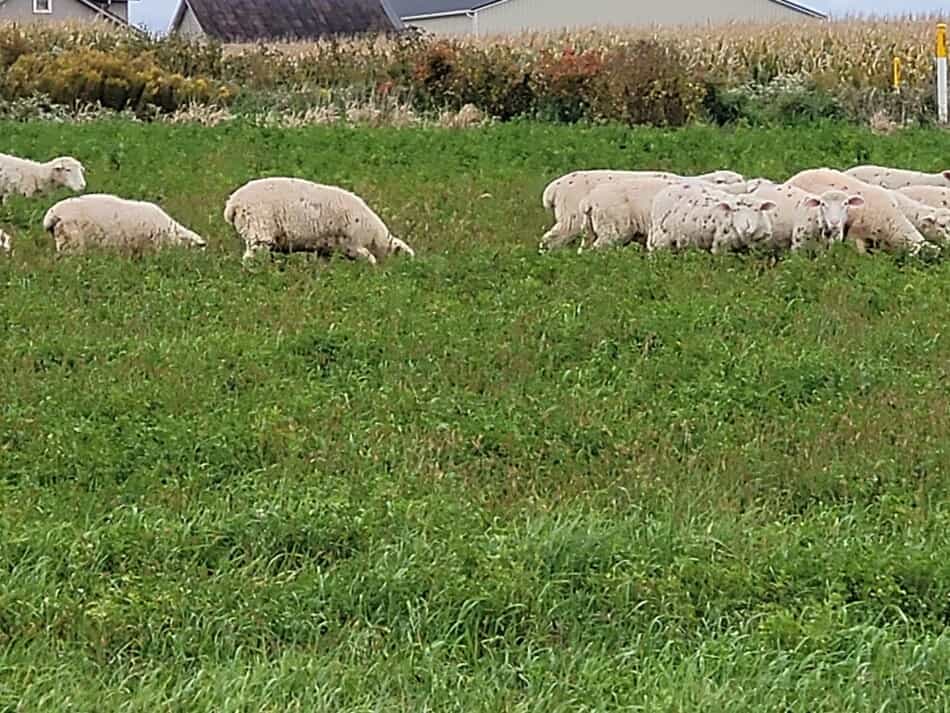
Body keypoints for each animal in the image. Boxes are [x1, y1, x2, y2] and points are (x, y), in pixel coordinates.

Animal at [227, 177, 416, 266]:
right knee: (251, 257)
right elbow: (370, 259)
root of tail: (233, 203)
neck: (376, 238)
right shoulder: (352, 244)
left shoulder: (327, 248)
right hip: (259, 230)